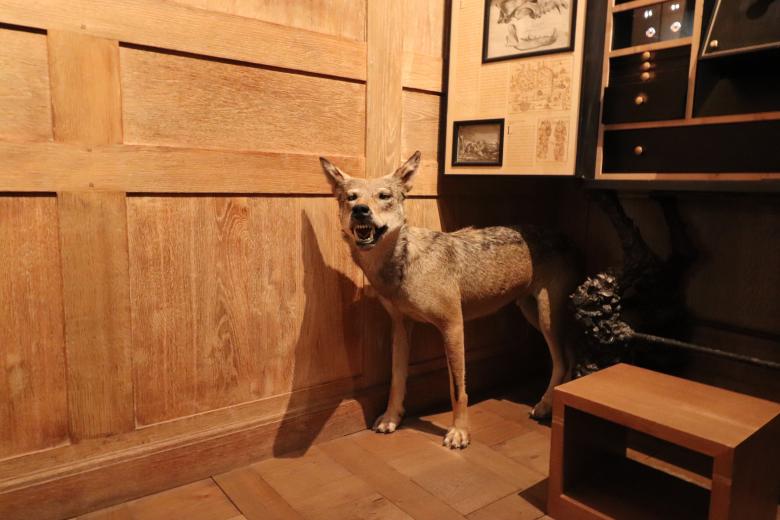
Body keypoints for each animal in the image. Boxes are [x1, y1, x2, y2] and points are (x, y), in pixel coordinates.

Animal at [320, 151, 580, 448]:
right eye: (351, 197)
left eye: (384, 196)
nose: (360, 210)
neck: (402, 266)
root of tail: (566, 236)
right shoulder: (400, 328)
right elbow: (397, 380)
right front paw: (391, 418)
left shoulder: (453, 326)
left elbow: (458, 389)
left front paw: (459, 432)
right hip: (533, 314)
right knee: (569, 356)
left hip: (547, 320)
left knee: (561, 362)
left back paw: (545, 406)